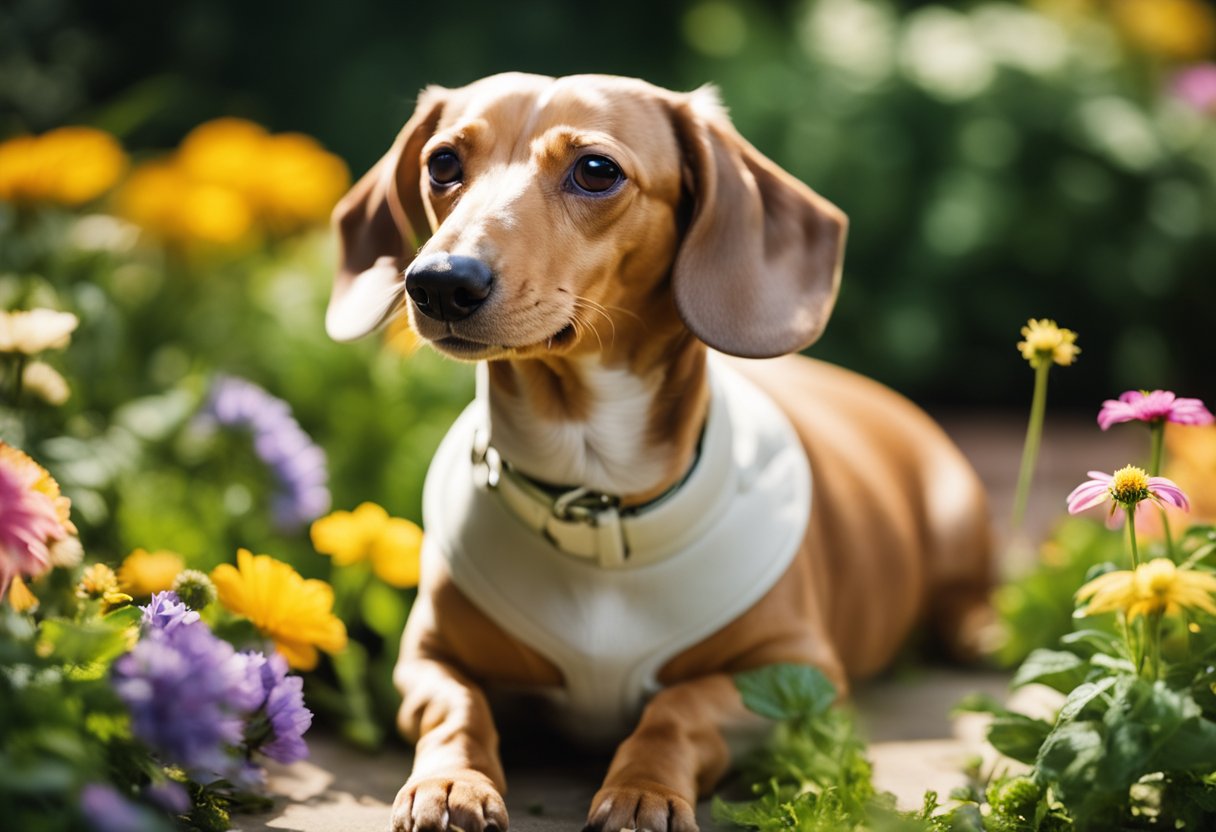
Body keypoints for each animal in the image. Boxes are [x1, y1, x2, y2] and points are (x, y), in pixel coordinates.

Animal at [328, 72, 992, 832]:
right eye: (442, 163)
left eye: (596, 170)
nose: (439, 281)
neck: (597, 503)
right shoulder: (424, 658)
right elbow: (456, 704)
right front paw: (451, 781)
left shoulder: (797, 677)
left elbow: (680, 704)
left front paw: (643, 788)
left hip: (956, 517)